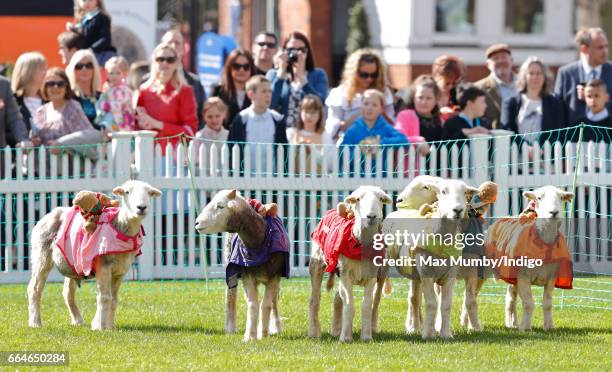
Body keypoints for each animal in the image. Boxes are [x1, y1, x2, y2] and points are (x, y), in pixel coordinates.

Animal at [27, 180, 161, 328]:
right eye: (127, 192)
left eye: (149, 193)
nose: (141, 207)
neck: (119, 226)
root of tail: (50, 214)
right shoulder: (103, 265)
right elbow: (104, 297)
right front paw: (100, 326)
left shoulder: (121, 270)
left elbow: (114, 299)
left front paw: (110, 326)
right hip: (41, 254)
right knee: (34, 289)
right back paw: (35, 322)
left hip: (72, 261)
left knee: (67, 292)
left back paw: (78, 320)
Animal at [196, 190, 292, 342]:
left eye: (220, 206)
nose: (197, 223)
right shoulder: (248, 277)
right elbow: (252, 305)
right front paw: (251, 336)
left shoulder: (274, 276)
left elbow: (266, 305)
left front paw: (263, 334)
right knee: (231, 296)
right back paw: (231, 328)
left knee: (274, 301)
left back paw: (275, 327)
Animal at [308, 186, 394, 342]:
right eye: (358, 199)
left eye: (381, 199)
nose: (371, 216)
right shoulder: (345, 274)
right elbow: (349, 305)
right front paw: (346, 338)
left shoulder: (371, 275)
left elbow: (366, 305)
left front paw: (366, 337)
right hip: (316, 263)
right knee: (315, 300)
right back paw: (313, 332)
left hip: (382, 272)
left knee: (374, 301)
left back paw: (341, 329)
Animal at [384, 179, 480, 338]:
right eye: (443, 191)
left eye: (465, 192)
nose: (458, 210)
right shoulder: (426, 273)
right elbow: (431, 303)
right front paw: (428, 335)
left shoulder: (450, 275)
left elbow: (445, 304)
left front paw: (446, 334)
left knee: (414, 299)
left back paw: (416, 327)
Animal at [488, 186, 572, 332]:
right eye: (539, 198)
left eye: (561, 198)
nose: (553, 212)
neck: (544, 244)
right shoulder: (523, 276)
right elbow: (528, 303)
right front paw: (526, 327)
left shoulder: (551, 277)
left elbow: (547, 303)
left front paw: (549, 326)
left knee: (511, 297)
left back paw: (512, 323)